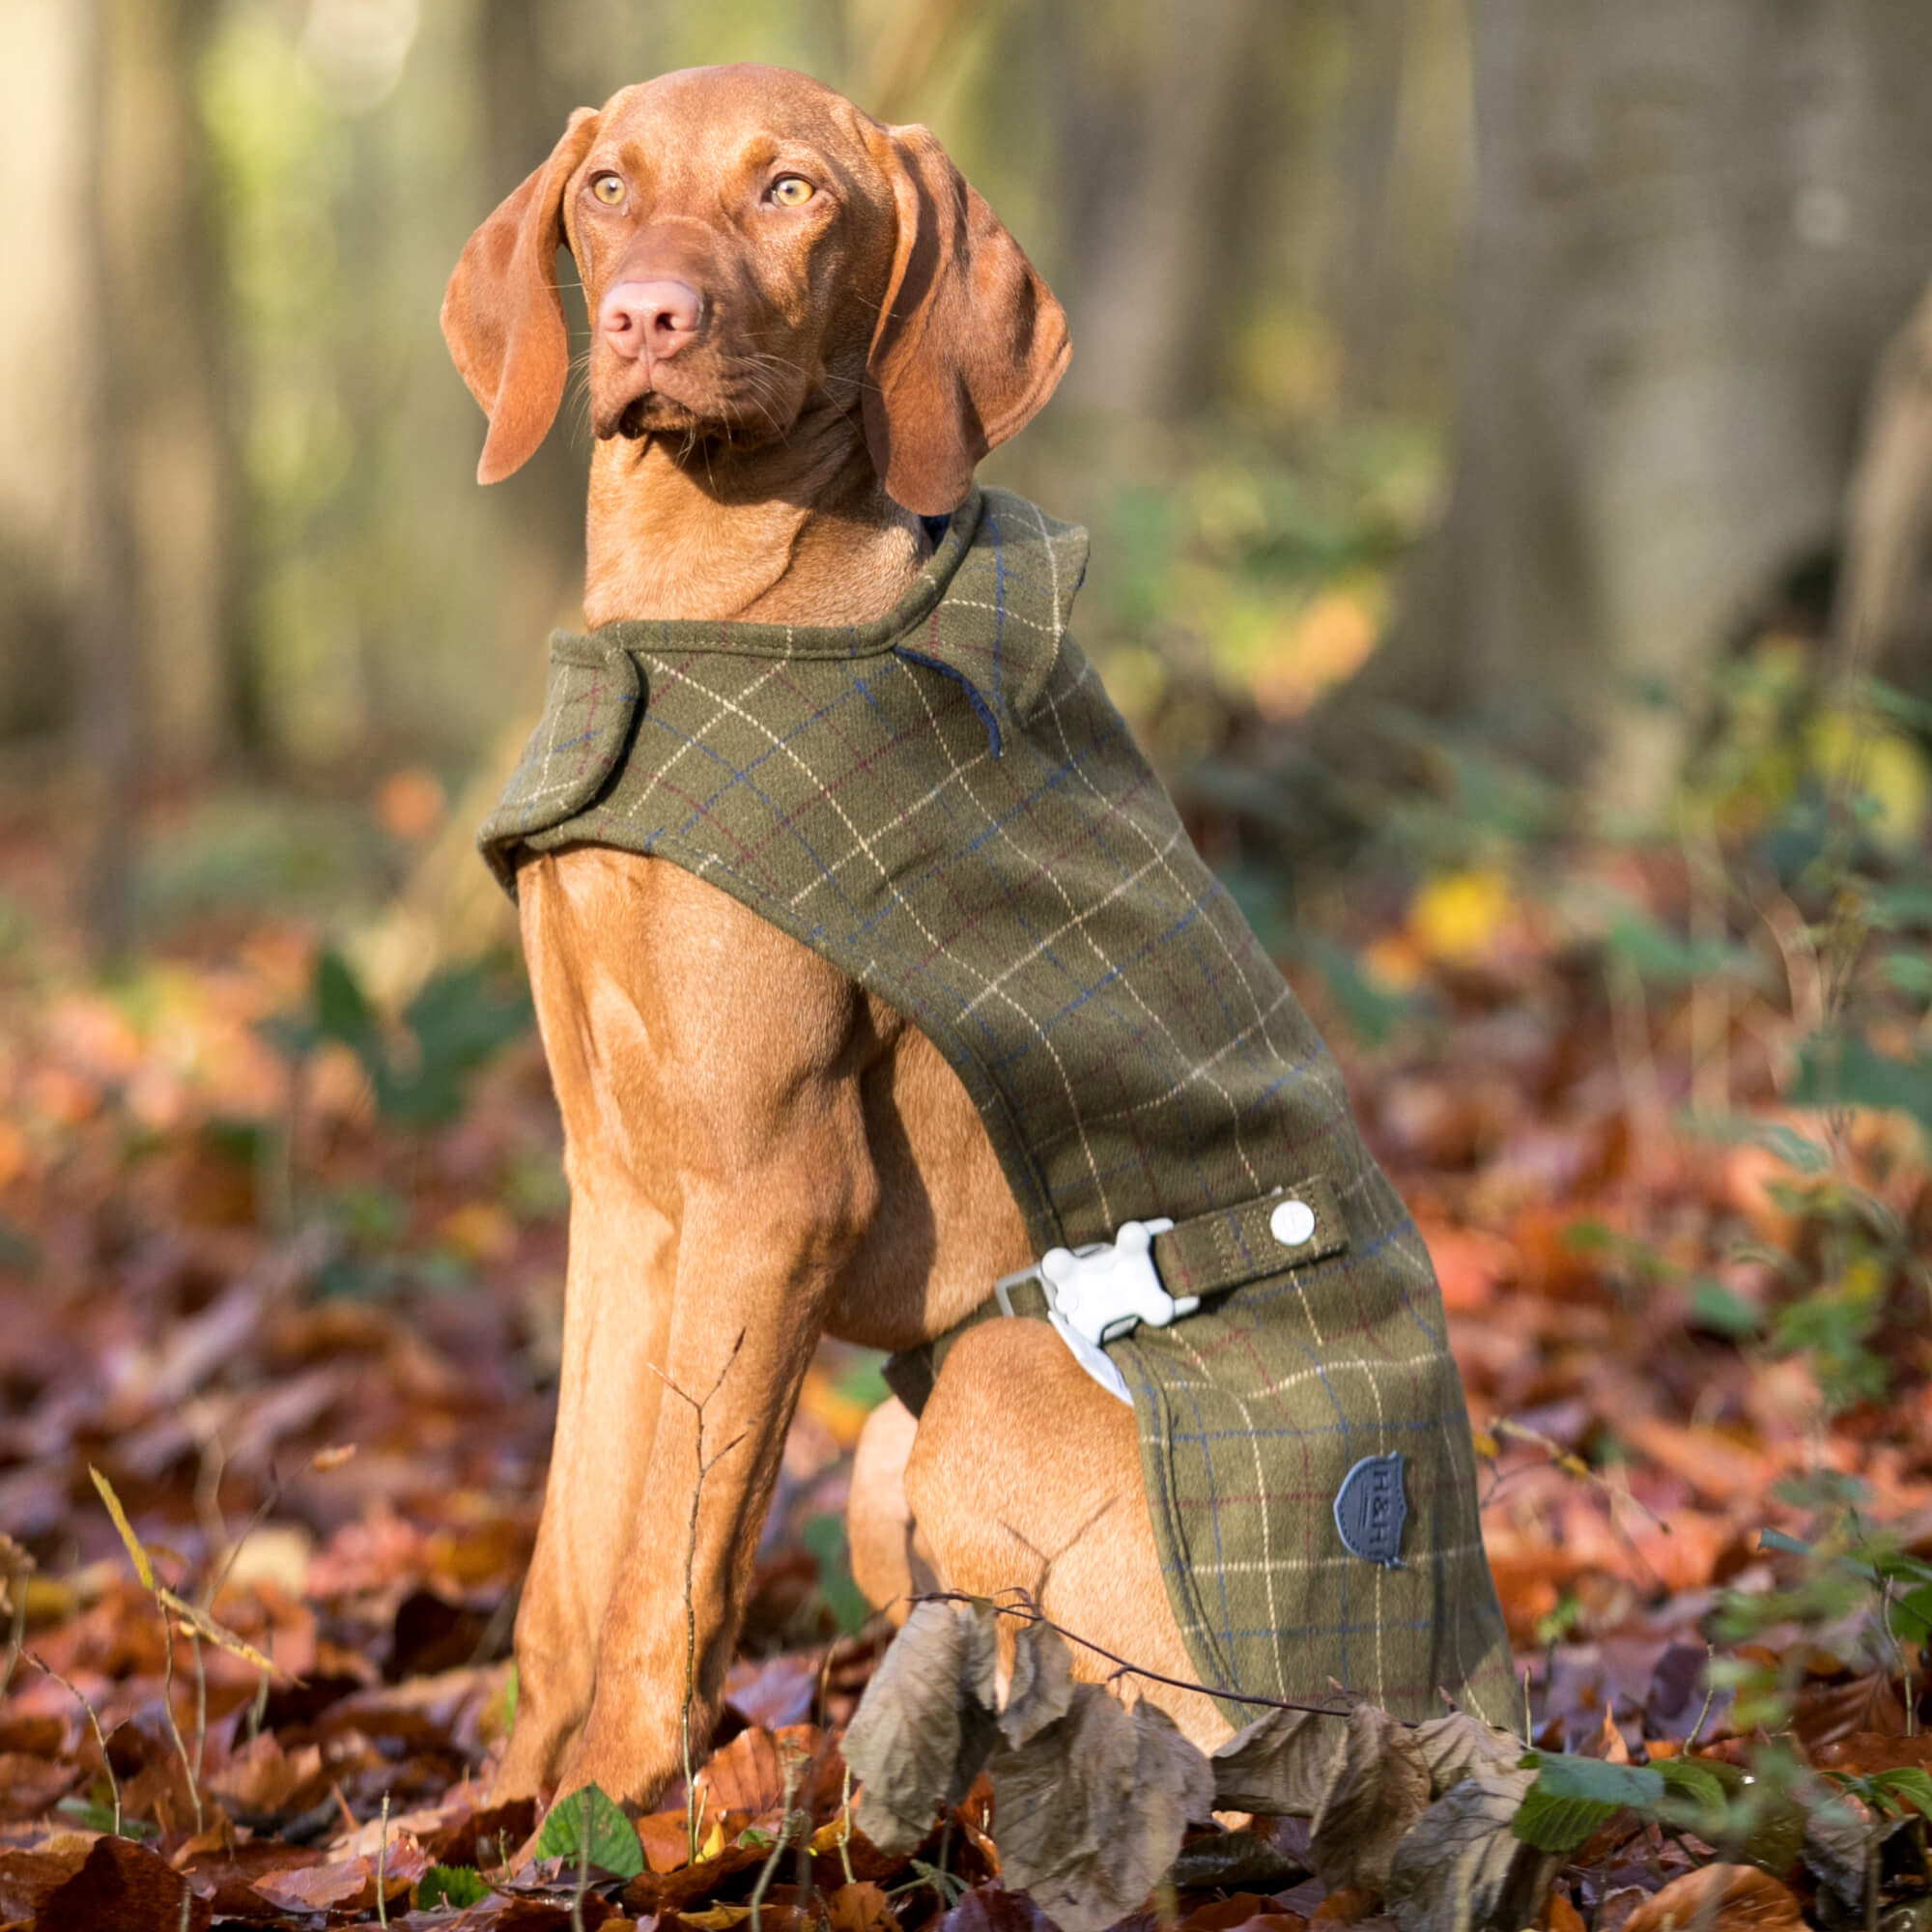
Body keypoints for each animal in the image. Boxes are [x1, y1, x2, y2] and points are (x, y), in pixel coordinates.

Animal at [444, 60, 1515, 1808]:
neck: (700, 609)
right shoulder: (619, 1188)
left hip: (981, 1409)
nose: (650, 317)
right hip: (893, 1442)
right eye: (606, 188)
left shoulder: (772, 1194)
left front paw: (600, 1822)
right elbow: (572, 1559)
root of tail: (1469, 1714)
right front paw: (486, 1814)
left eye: (793, 193)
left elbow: (673, 1569)